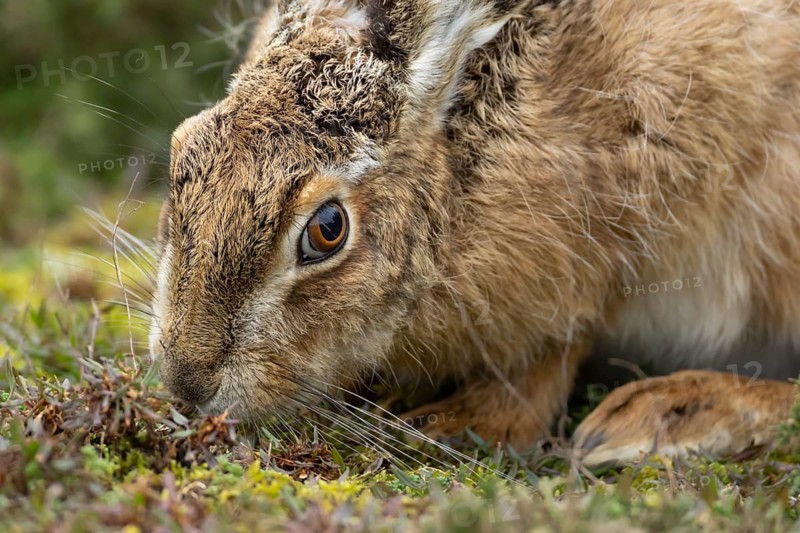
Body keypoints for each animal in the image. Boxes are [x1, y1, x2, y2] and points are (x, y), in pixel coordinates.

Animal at [150, 0, 800, 466]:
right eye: (181, 151)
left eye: (328, 230)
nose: (187, 383)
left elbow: (552, 351)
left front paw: (453, 423)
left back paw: (670, 412)